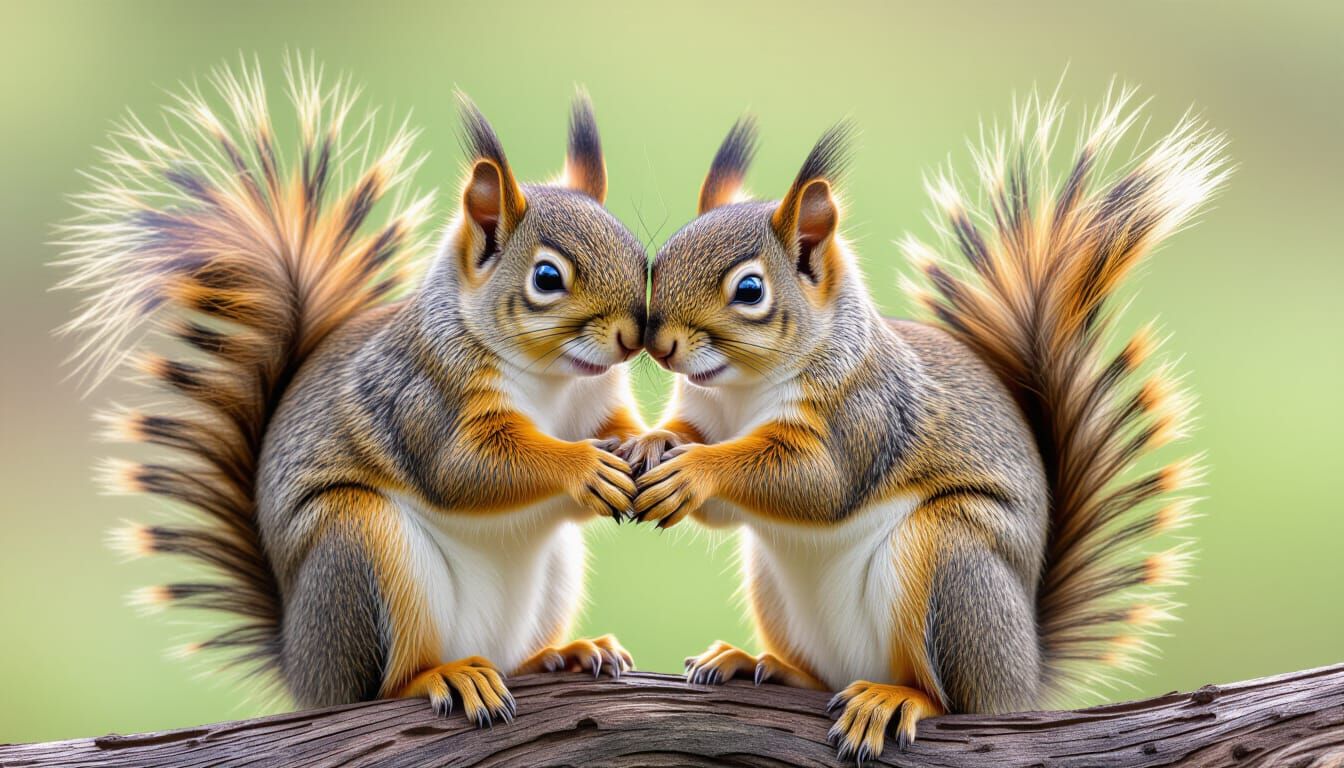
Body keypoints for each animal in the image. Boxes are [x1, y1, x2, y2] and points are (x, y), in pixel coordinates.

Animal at [57, 59, 648, 724]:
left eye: (636, 249)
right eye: (547, 277)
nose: (634, 336)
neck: (554, 378)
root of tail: (302, 670)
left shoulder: (598, 400)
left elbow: (617, 427)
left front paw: (649, 446)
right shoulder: (423, 397)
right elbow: (466, 467)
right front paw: (583, 468)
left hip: (554, 573)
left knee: (519, 656)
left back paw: (564, 652)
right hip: (359, 544)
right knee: (385, 684)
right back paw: (445, 675)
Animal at [627, 90, 1226, 761]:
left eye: (750, 289)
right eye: (662, 258)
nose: (659, 343)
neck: (740, 393)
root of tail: (1024, 678)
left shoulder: (866, 418)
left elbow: (819, 484)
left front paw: (694, 472)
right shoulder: (707, 412)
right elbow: (704, 463)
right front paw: (652, 441)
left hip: (950, 557)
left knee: (951, 700)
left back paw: (894, 699)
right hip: (775, 587)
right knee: (820, 673)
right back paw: (761, 663)